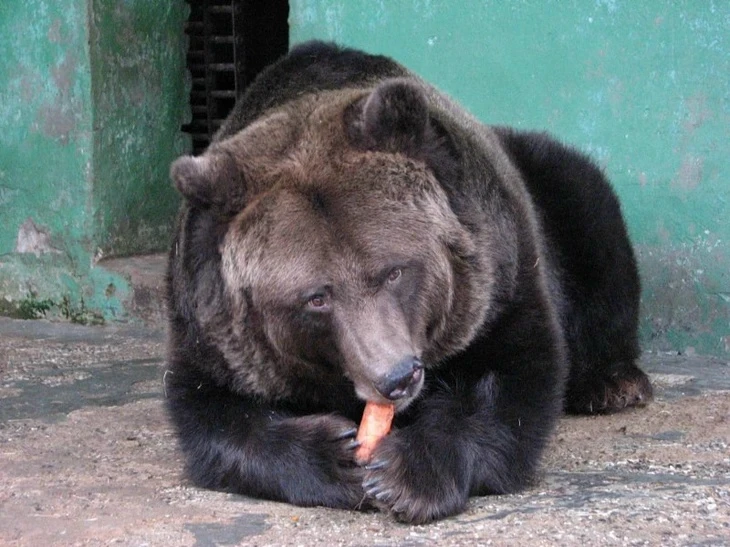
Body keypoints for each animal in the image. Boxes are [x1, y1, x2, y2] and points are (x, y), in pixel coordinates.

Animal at [164, 41, 653, 524]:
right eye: (316, 298)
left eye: (394, 271)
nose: (396, 376)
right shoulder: (210, 329)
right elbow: (214, 416)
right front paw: (337, 456)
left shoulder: (500, 276)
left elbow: (510, 384)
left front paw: (406, 474)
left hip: (557, 197)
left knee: (593, 223)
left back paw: (611, 383)